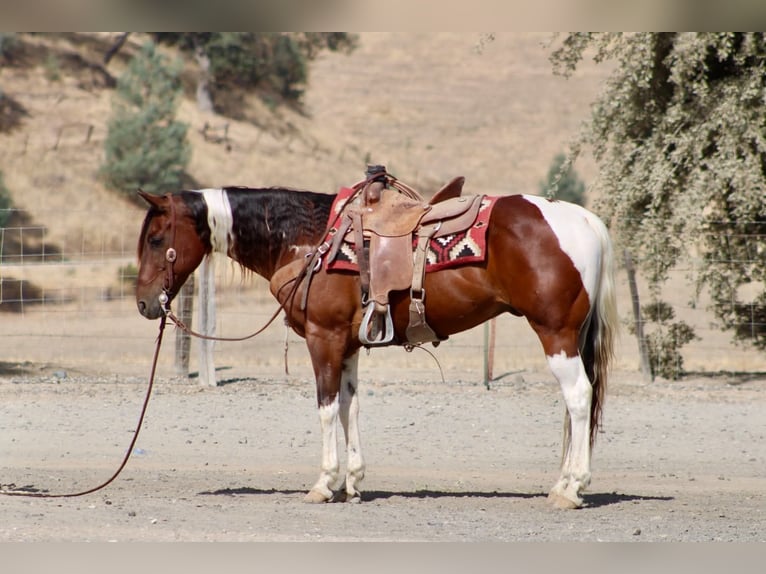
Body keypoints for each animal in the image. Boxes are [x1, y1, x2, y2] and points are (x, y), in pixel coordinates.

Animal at [135, 178, 617, 509]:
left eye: (157, 239)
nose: (143, 302)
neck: (308, 242)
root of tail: (587, 221)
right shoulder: (347, 344)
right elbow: (351, 405)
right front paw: (352, 482)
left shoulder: (324, 338)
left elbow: (327, 407)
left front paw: (324, 483)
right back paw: (563, 483)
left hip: (555, 333)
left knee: (578, 398)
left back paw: (571, 489)